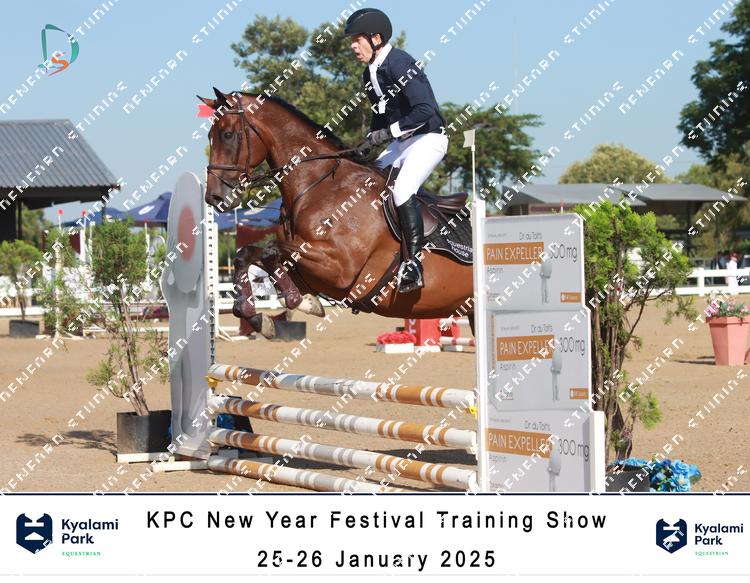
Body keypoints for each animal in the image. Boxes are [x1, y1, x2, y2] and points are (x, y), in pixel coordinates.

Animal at [197, 88, 474, 338]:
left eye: (228, 134)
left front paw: (300, 302)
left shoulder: (339, 269)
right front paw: (259, 316)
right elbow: (247, 254)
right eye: (210, 135)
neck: (318, 185)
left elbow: (270, 251)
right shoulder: (308, 274)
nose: (214, 197)